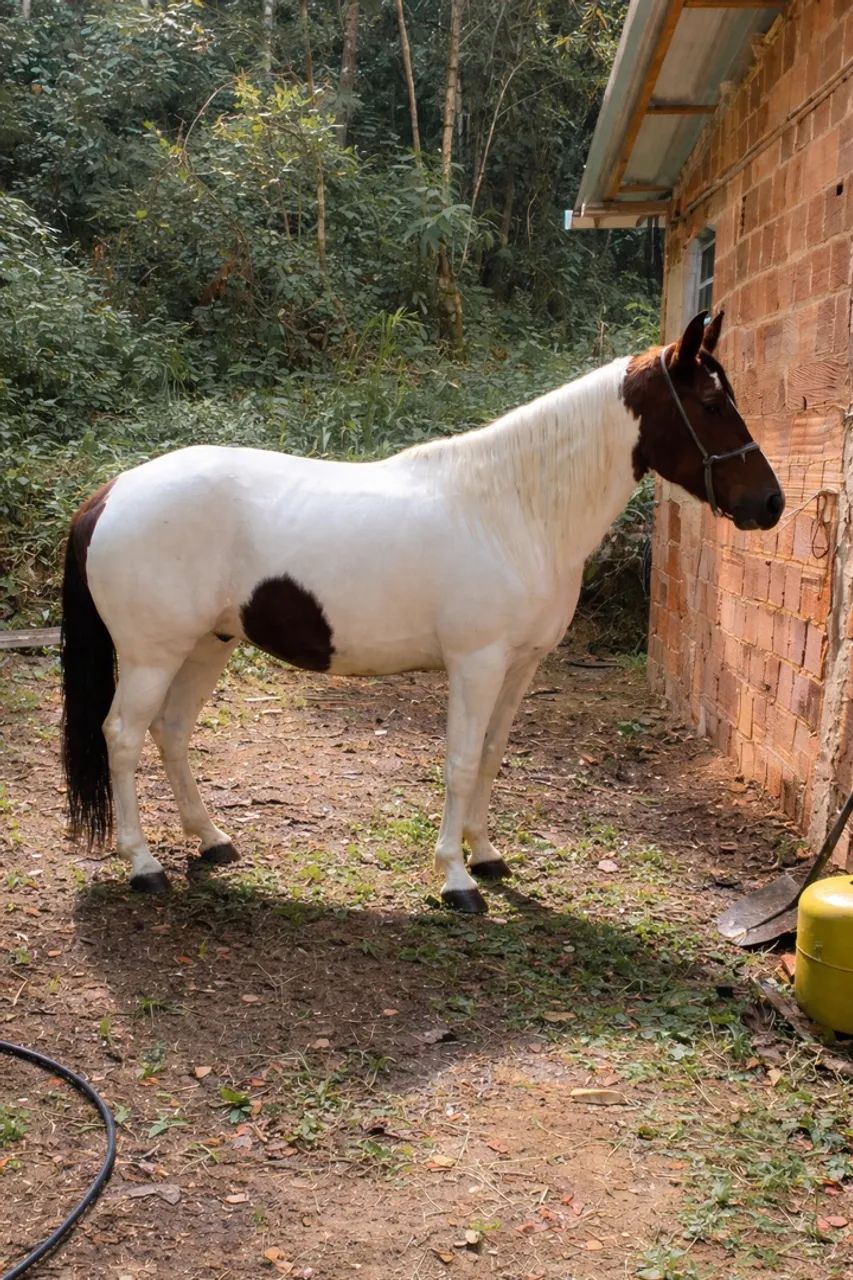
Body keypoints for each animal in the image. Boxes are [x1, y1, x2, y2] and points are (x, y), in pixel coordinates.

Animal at [60, 310, 784, 912]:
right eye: (710, 403)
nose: (770, 504)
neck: (513, 511)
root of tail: (111, 491)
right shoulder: (475, 663)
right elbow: (460, 762)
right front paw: (456, 880)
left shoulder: (520, 666)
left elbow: (490, 756)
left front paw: (485, 855)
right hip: (153, 654)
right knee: (122, 735)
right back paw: (143, 865)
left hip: (207, 644)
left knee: (172, 731)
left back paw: (211, 840)